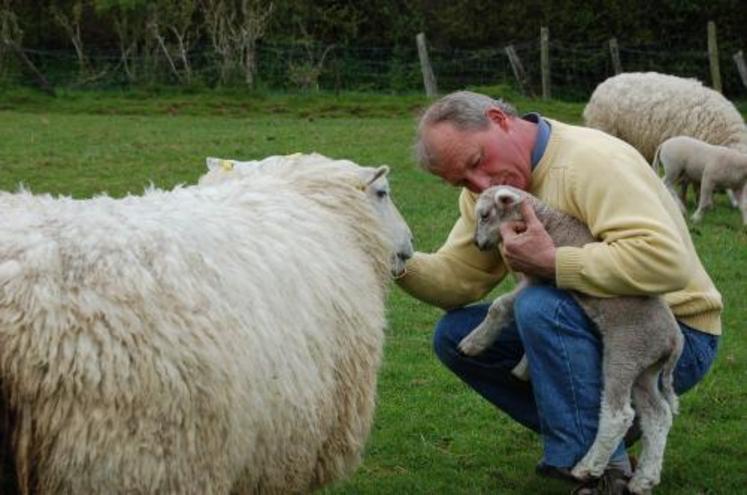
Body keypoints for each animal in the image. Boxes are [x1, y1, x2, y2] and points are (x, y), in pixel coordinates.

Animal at [456, 186, 684, 495]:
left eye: (484, 215)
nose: (477, 244)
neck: (544, 219)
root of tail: (673, 340)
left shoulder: (540, 276)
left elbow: (501, 305)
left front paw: (473, 343)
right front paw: (523, 367)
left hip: (625, 352)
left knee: (619, 415)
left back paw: (587, 467)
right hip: (646, 369)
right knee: (657, 415)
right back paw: (644, 478)